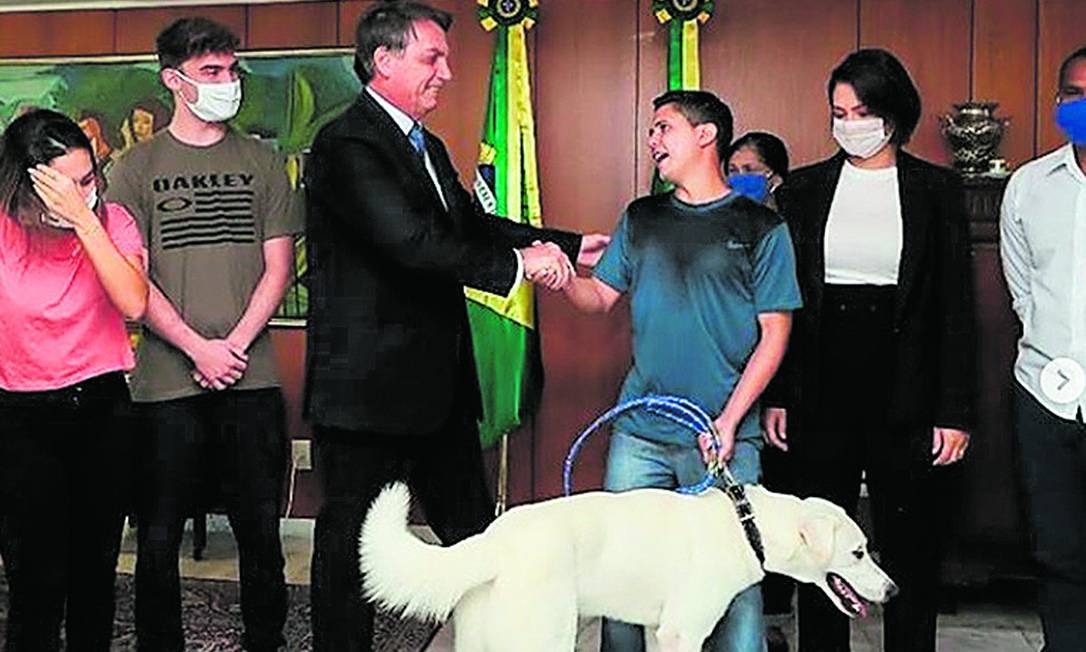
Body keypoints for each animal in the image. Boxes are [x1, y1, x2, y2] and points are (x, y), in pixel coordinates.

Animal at [360, 484, 894, 652]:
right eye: (858, 552)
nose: (893, 591)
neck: (749, 525)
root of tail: (494, 539)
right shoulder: (682, 633)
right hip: (545, 638)